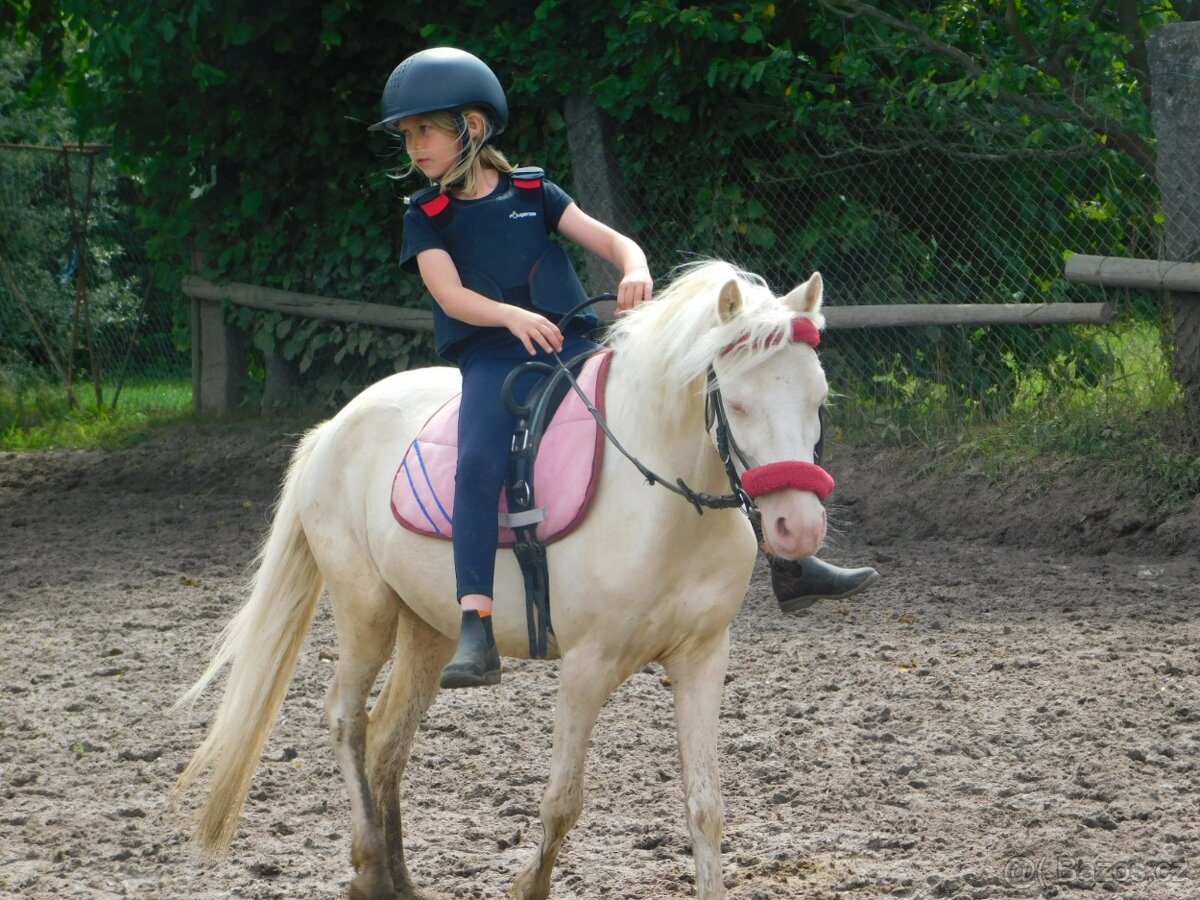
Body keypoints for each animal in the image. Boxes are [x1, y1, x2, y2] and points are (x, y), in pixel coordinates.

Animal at [173, 260, 832, 900]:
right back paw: (370, 871)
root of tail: (333, 427)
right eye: (737, 404)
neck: (667, 504)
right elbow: (562, 802)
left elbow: (705, 807)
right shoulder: (587, 664)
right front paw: (527, 885)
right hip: (367, 612)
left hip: (430, 629)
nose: (797, 528)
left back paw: (399, 878)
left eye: (819, 399)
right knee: (347, 718)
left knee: (388, 737)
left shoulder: (702, 657)